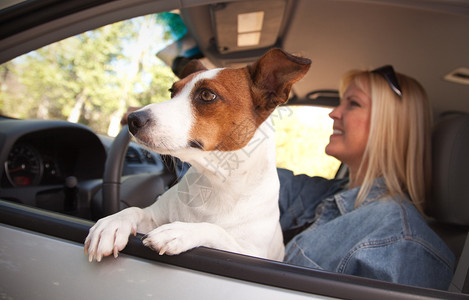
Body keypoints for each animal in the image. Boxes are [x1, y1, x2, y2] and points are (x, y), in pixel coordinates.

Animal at [84, 48, 310, 262]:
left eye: (207, 95)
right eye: (172, 91)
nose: (132, 119)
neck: (215, 184)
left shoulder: (250, 253)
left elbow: (215, 230)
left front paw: (179, 230)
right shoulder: (153, 216)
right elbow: (134, 211)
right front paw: (112, 223)